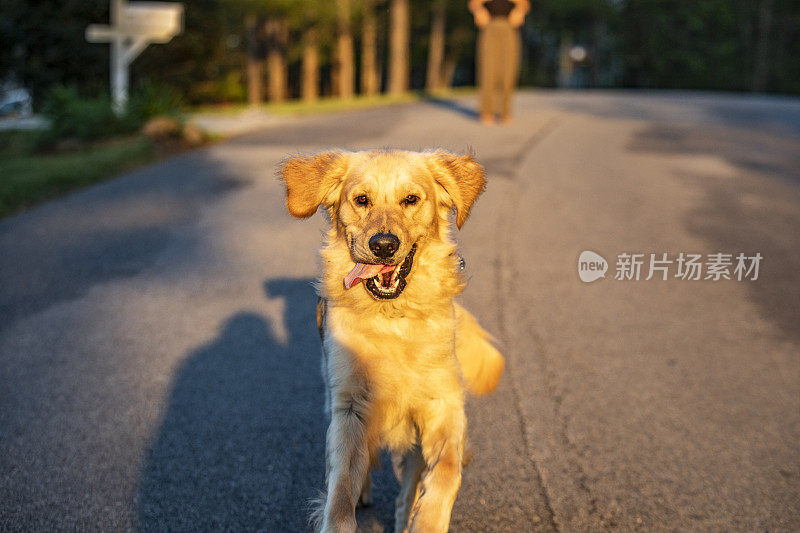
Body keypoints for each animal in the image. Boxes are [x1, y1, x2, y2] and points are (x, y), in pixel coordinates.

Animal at [282, 148, 504, 528]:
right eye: (361, 200)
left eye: (411, 199)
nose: (383, 245)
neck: (393, 316)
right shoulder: (349, 404)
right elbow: (340, 487)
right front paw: (340, 516)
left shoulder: (442, 401)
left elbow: (446, 469)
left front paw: (428, 521)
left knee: (412, 480)